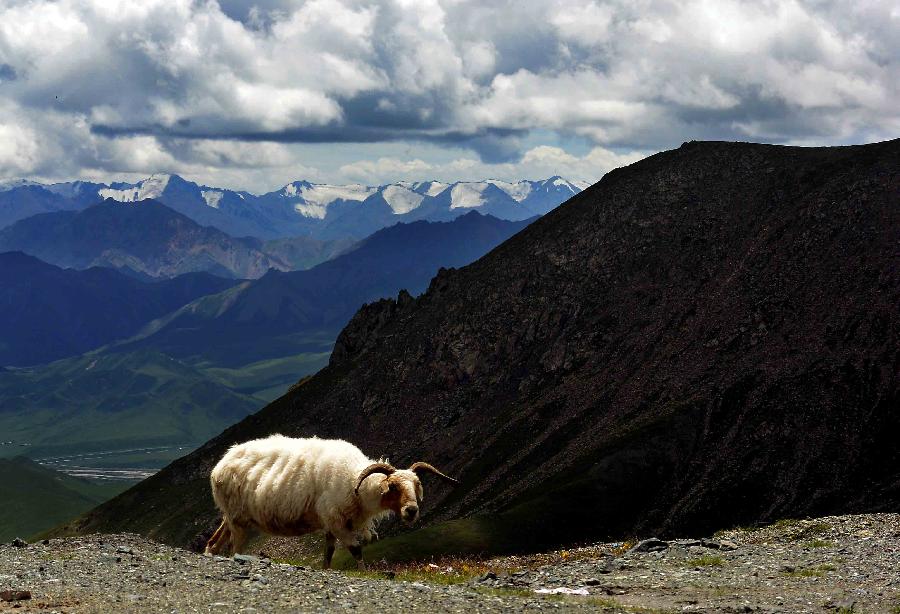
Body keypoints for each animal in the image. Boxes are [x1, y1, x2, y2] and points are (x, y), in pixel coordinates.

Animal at [203, 436, 458, 572]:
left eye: (417, 485)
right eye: (393, 487)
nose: (411, 511)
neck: (356, 482)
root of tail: (221, 463)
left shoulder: (331, 524)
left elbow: (328, 553)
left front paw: (326, 571)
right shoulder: (336, 521)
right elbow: (356, 550)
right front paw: (364, 573)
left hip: (233, 515)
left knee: (216, 540)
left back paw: (210, 551)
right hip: (237, 520)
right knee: (234, 548)